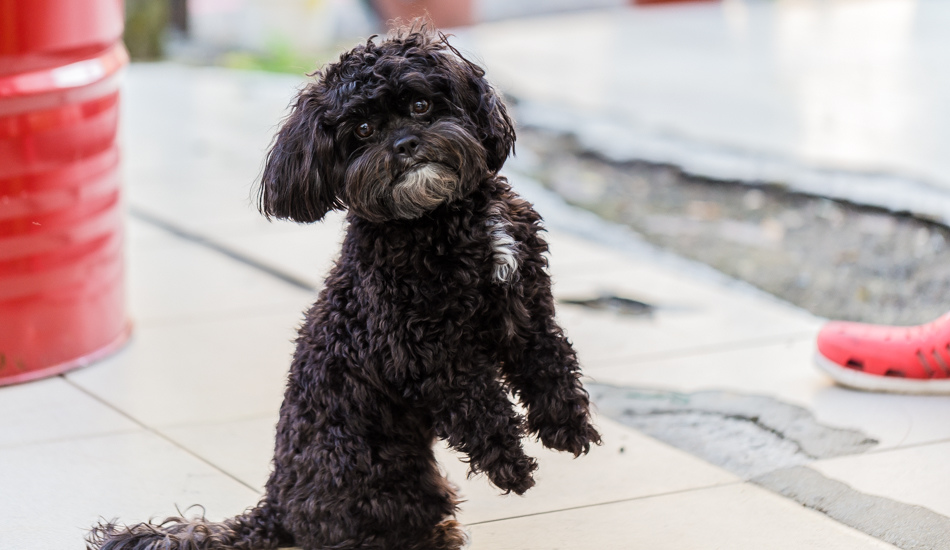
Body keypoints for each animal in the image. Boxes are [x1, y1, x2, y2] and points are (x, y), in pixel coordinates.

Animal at [93, 28, 608, 550]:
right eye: (360, 130)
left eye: (420, 105)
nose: (404, 144)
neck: (443, 218)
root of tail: (277, 504)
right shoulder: (421, 351)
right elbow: (478, 402)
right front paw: (512, 466)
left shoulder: (523, 303)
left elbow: (549, 357)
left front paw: (568, 426)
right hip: (387, 486)